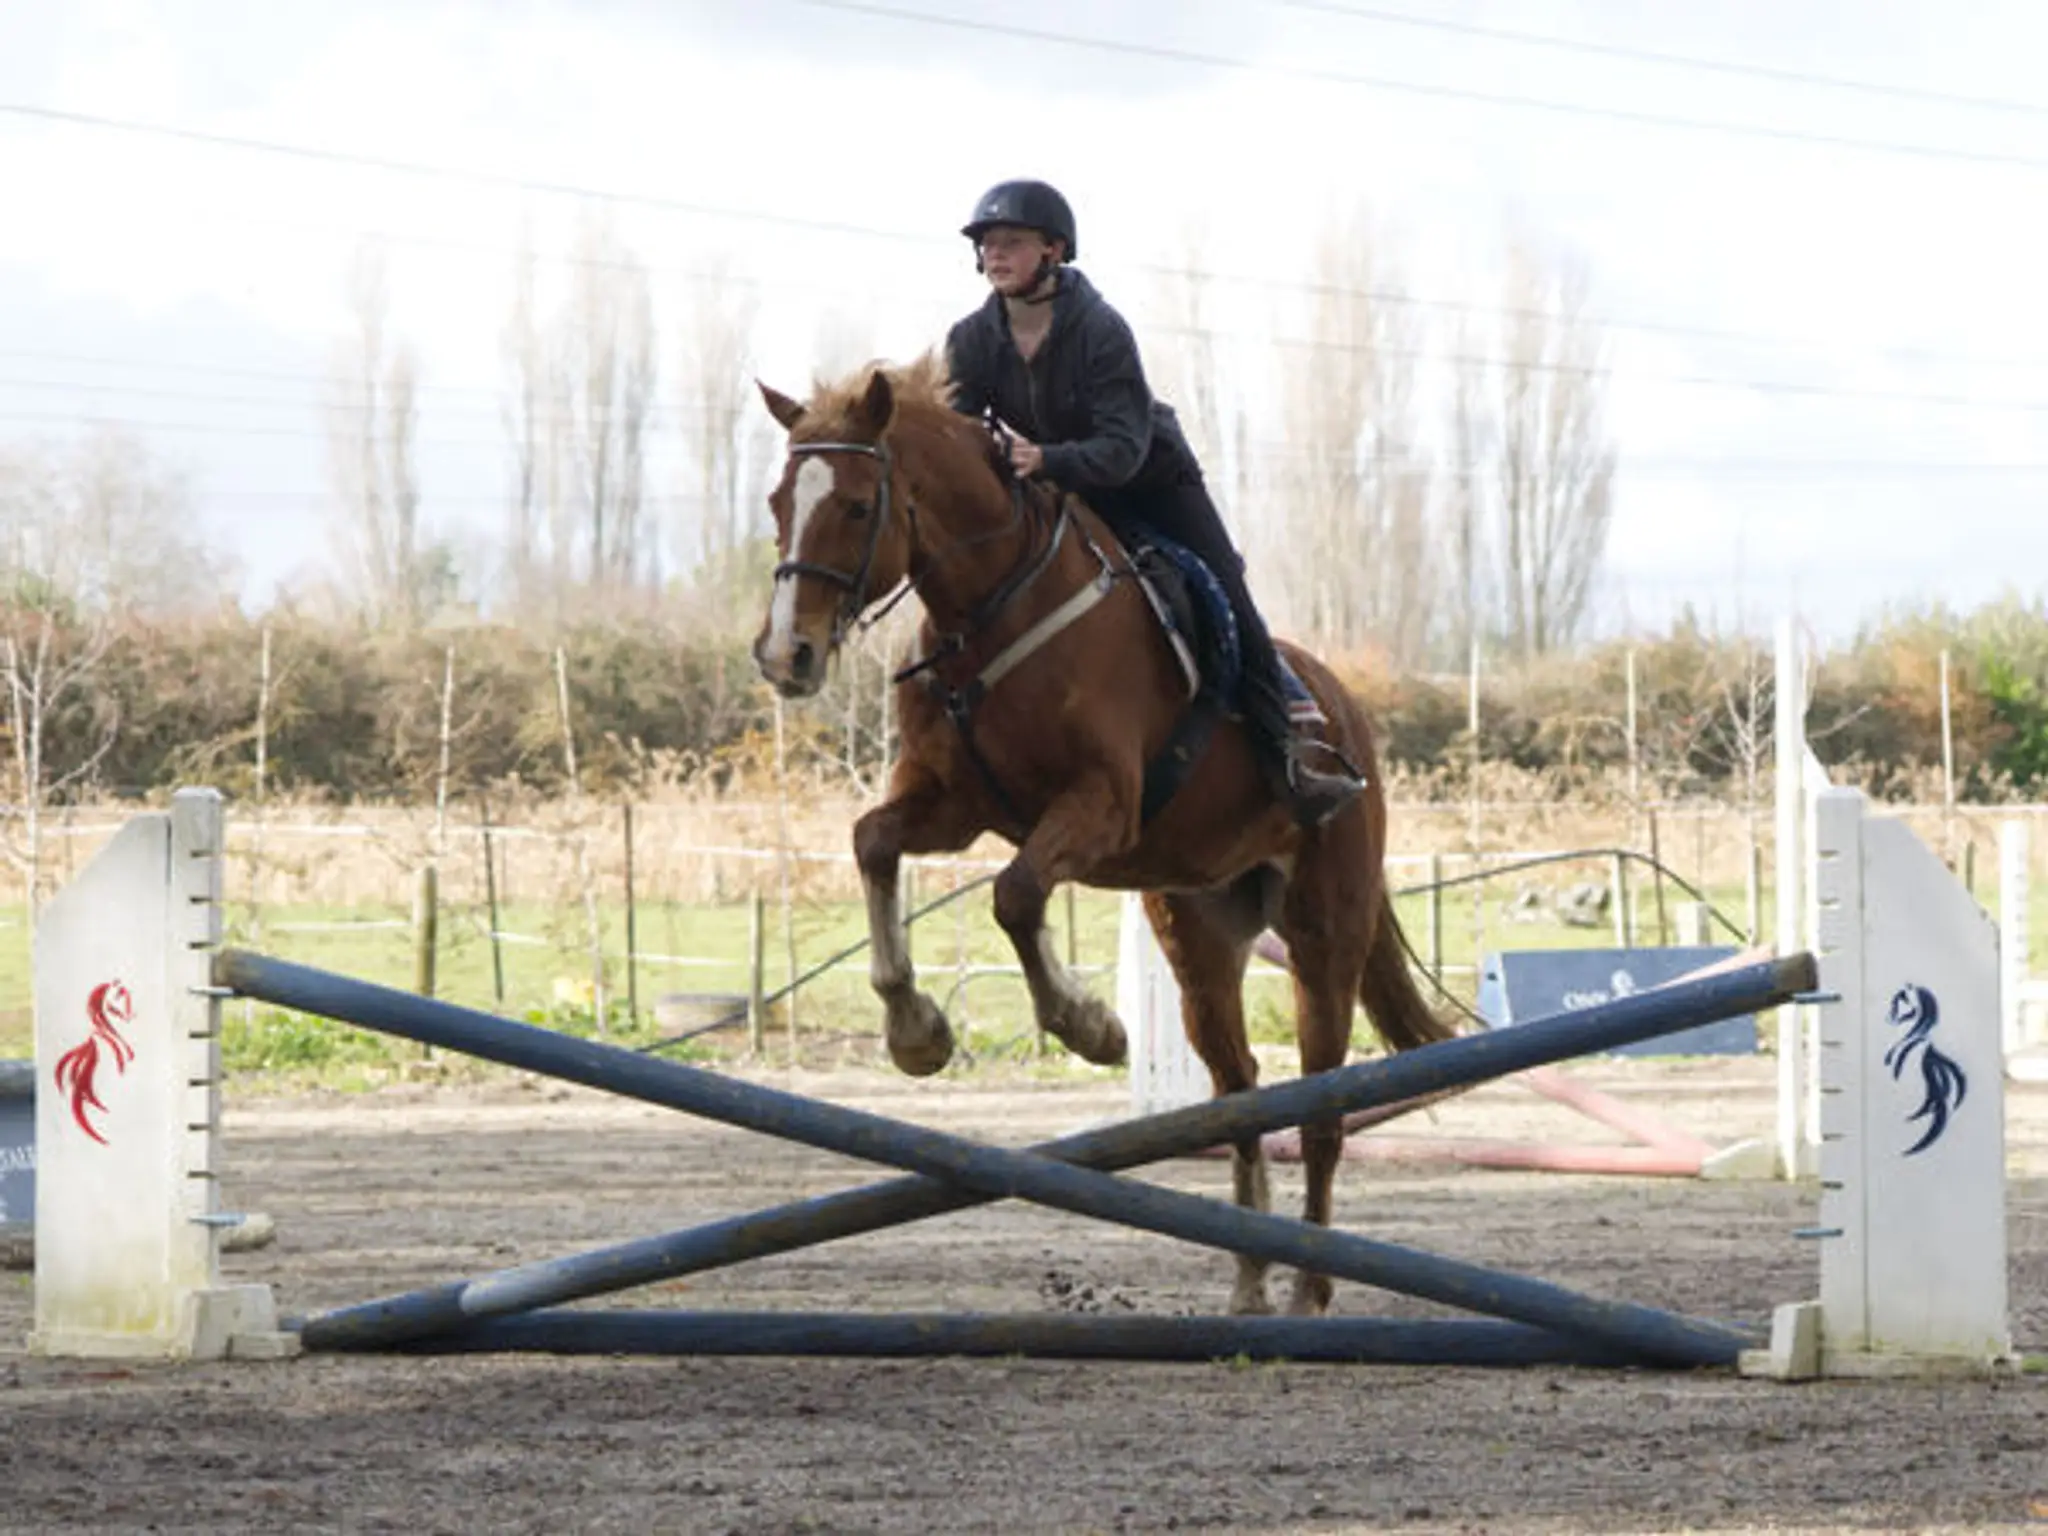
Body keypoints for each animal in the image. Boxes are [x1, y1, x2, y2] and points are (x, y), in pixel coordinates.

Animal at [749, 352, 1454, 1316]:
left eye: (857, 505)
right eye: (779, 501)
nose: (787, 657)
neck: (993, 606)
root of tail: (1350, 717)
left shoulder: (1099, 805)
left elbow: (1015, 894)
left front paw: (1089, 1028)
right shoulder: (951, 806)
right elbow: (873, 844)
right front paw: (916, 1032)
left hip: (1323, 936)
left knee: (1320, 1107)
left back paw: (1310, 1290)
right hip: (1202, 940)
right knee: (1240, 1091)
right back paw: (1249, 1284)